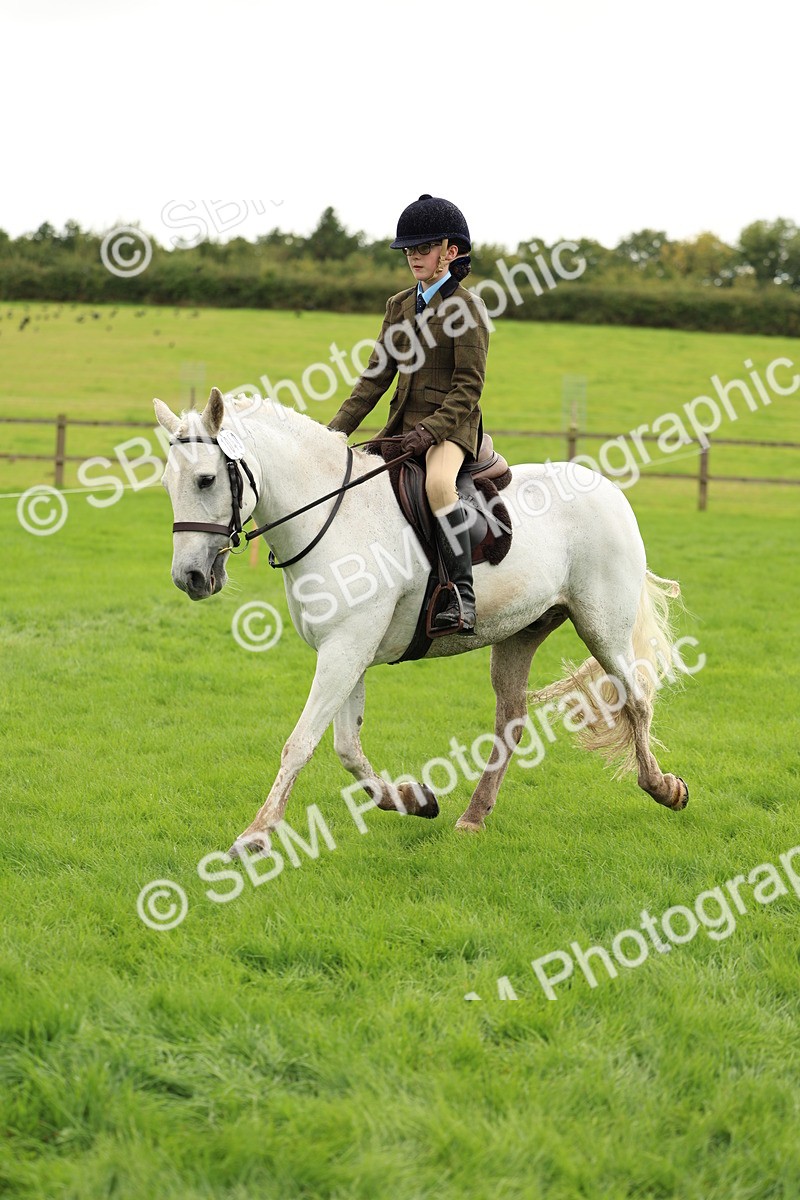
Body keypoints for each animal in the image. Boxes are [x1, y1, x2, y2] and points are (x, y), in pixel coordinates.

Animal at [154, 388, 689, 856]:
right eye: (166, 485)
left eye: (205, 480)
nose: (190, 577)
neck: (335, 516)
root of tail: (608, 489)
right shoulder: (348, 651)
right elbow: (347, 748)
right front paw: (413, 799)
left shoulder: (345, 650)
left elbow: (300, 743)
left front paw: (256, 835)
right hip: (521, 633)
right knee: (511, 721)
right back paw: (472, 817)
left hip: (602, 628)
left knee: (636, 701)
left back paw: (664, 788)